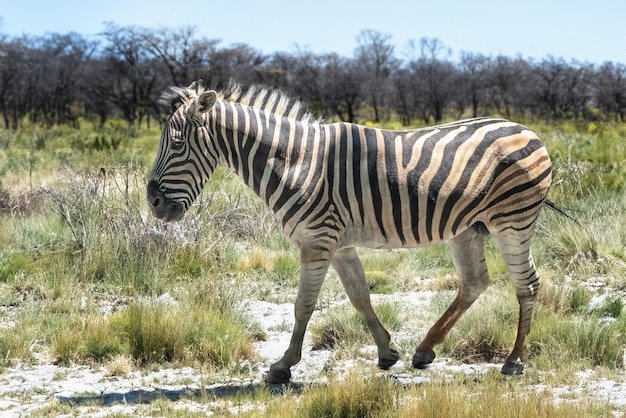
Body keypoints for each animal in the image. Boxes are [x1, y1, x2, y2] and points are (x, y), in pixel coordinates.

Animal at [146, 80, 552, 384]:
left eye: (177, 145)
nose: (153, 202)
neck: (295, 163)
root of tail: (527, 129)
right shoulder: (337, 245)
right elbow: (360, 296)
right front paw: (387, 353)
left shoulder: (317, 240)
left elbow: (303, 305)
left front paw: (283, 366)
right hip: (468, 227)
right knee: (474, 282)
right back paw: (425, 351)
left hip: (512, 221)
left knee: (527, 284)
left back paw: (514, 361)